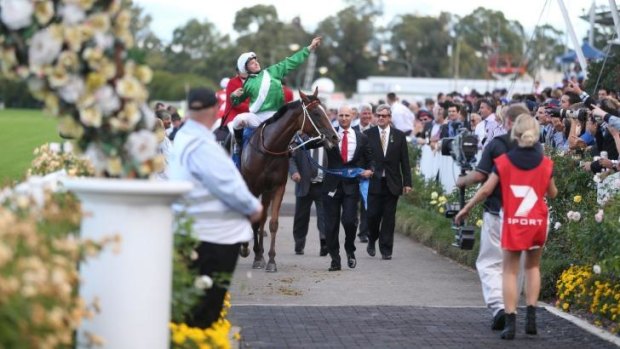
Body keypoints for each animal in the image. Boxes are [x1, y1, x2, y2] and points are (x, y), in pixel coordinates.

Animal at [241, 87, 340, 272]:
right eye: (316, 113)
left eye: (325, 110)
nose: (335, 137)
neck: (269, 149)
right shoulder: (252, 187)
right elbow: (253, 220)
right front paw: (250, 252)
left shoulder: (277, 186)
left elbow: (272, 222)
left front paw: (270, 260)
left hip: (266, 191)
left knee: (263, 218)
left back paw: (260, 253)